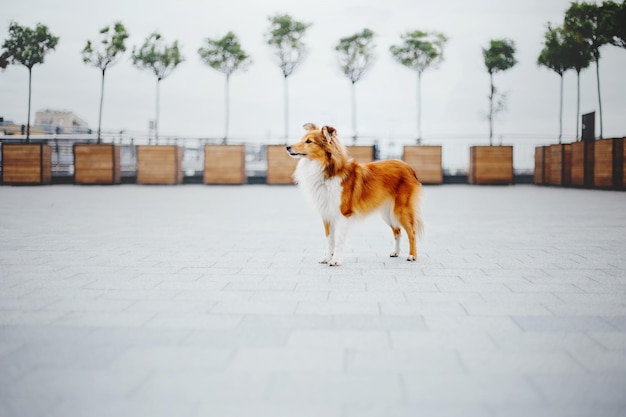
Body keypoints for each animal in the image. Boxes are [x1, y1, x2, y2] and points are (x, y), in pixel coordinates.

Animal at [286, 122, 422, 264]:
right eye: (302, 139)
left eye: (309, 141)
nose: (287, 147)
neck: (327, 173)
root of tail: (408, 167)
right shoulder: (327, 215)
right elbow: (330, 240)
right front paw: (328, 258)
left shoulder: (343, 214)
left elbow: (339, 240)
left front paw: (335, 260)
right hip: (387, 213)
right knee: (398, 231)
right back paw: (396, 252)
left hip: (401, 210)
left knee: (412, 232)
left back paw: (412, 255)